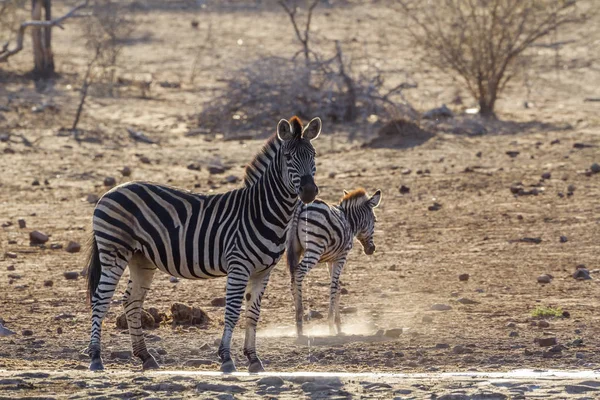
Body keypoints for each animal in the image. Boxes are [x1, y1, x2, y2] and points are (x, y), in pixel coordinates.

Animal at [85, 115, 324, 372]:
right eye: (288, 157)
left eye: (314, 155)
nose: (309, 191)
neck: (262, 210)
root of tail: (110, 192)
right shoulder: (239, 266)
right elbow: (232, 312)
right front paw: (227, 359)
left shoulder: (263, 271)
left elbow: (253, 314)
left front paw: (253, 359)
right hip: (114, 252)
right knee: (100, 300)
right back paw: (96, 357)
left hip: (142, 259)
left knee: (131, 301)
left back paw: (146, 357)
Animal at [284, 188, 380, 338]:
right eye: (375, 220)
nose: (372, 249)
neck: (349, 221)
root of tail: (300, 207)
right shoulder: (341, 257)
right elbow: (334, 287)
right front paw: (330, 325)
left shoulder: (330, 260)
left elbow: (338, 288)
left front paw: (338, 325)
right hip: (314, 250)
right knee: (299, 273)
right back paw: (300, 320)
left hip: (294, 249)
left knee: (293, 277)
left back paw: (297, 323)